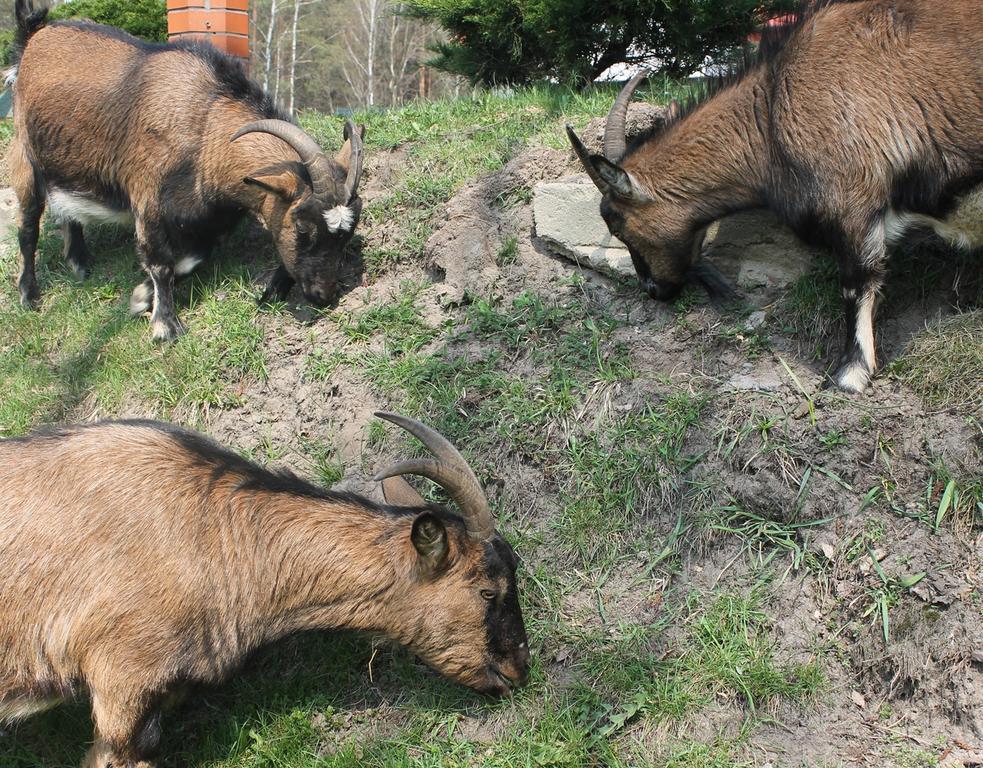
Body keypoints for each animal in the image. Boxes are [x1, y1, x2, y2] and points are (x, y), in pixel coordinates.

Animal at [9, 0, 364, 342]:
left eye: (347, 235)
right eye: (303, 228)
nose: (323, 294)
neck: (205, 129)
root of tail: (33, 37)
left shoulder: (208, 220)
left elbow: (192, 259)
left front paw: (141, 296)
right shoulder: (148, 199)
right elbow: (160, 262)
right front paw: (165, 326)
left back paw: (80, 263)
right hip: (24, 156)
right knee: (28, 228)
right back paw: (29, 295)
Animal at [568, 0, 983, 392]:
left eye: (619, 225)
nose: (653, 289)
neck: (769, 112)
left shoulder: (852, 202)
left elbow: (856, 284)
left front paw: (850, 374)